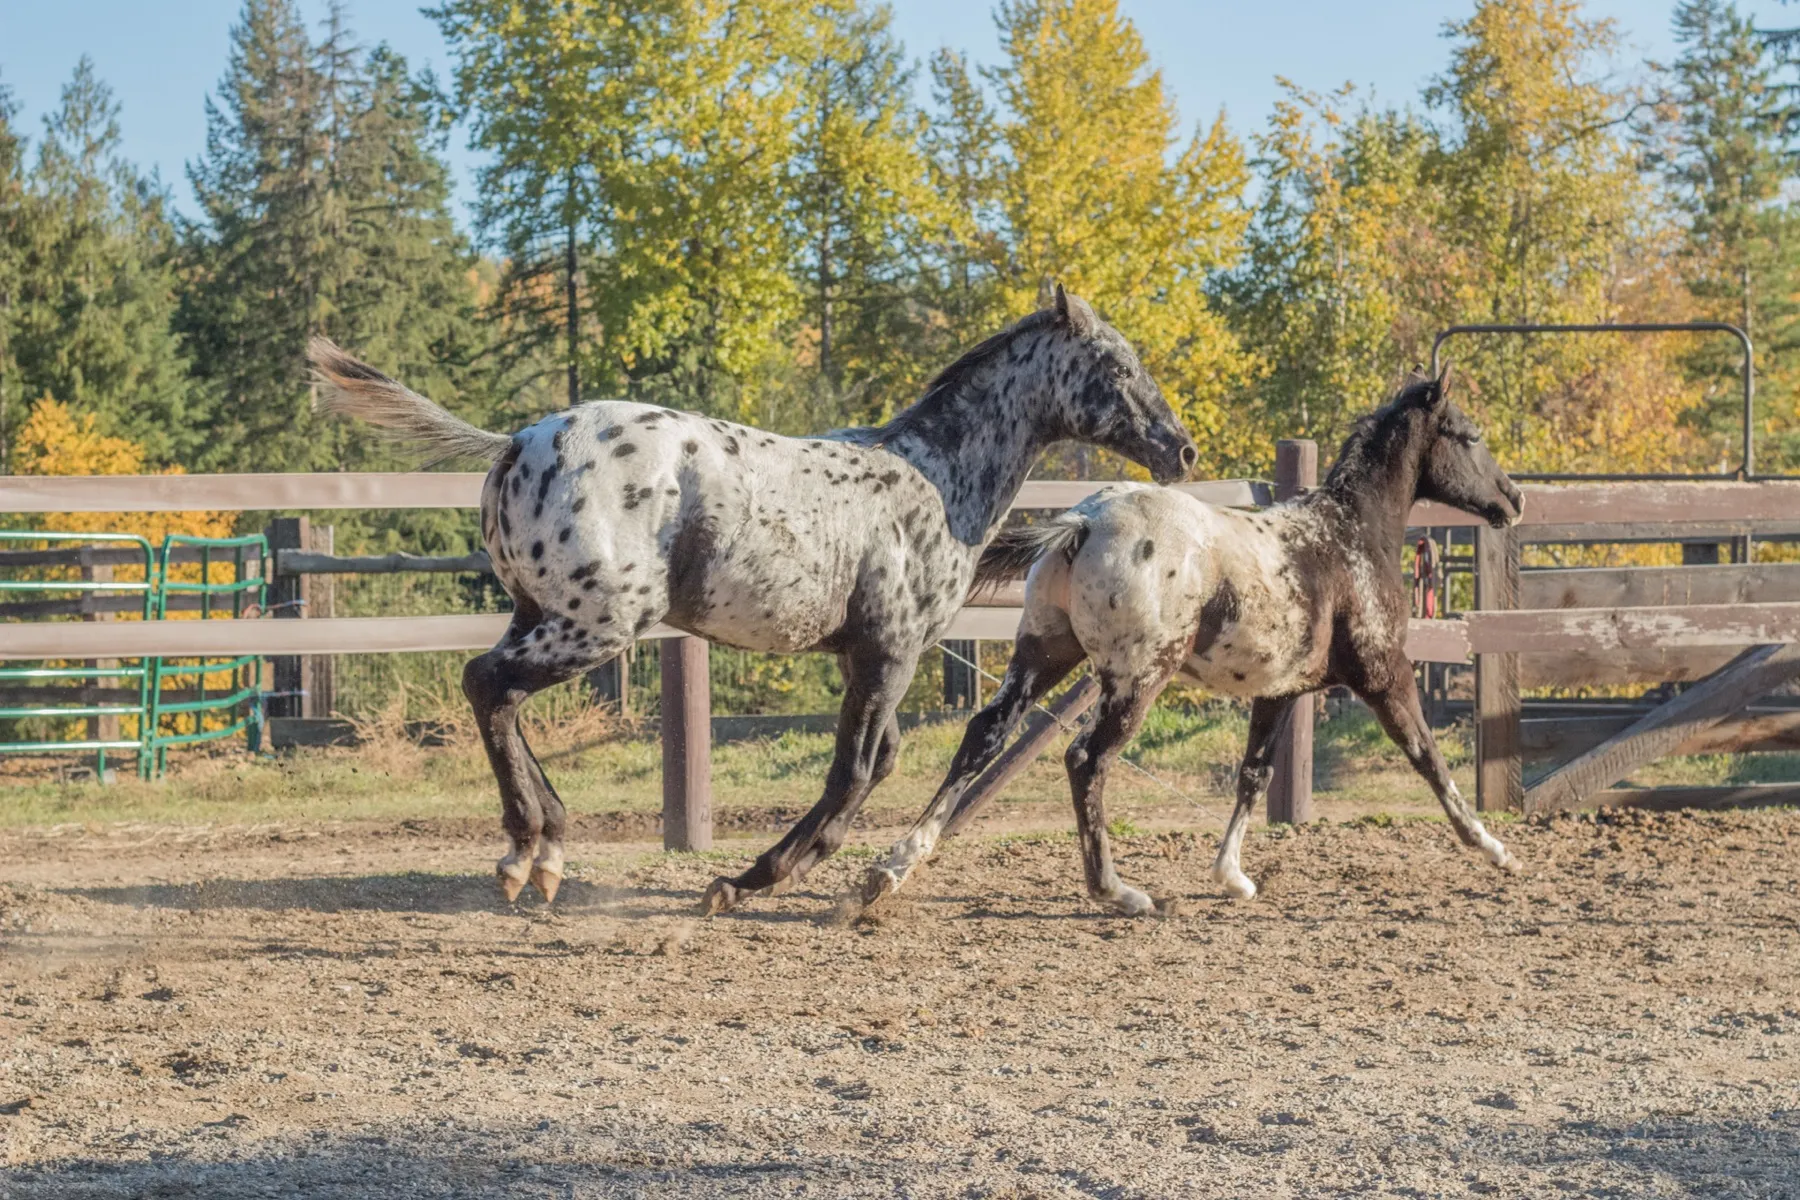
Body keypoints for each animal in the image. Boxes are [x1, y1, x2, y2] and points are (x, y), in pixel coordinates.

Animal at [310, 286, 1199, 910]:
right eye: (1118, 367)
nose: (1181, 449)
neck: (934, 479)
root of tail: (516, 444)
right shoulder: (889, 650)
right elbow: (856, 770)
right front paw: (747, 881)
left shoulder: (861, 658)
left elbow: (878, 761)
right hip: (598, 626)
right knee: (486, 684)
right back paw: (525, 852)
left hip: (544, 616)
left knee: (497, 697)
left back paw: (549, 852)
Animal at [861, 368, 1524, 917]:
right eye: (1470, 436)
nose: (1513, 499)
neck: (1348, 539)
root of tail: (1086, 522)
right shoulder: (1386, 674)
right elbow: (1428, 758)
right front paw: (1493, 848)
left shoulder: (1279, 689)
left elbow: (1254, 773)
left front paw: (1232, 876)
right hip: (1136, 679)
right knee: (1085, 759)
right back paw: (1117, 892)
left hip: (1044, 653)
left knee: (985, 734)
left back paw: (891, 869)